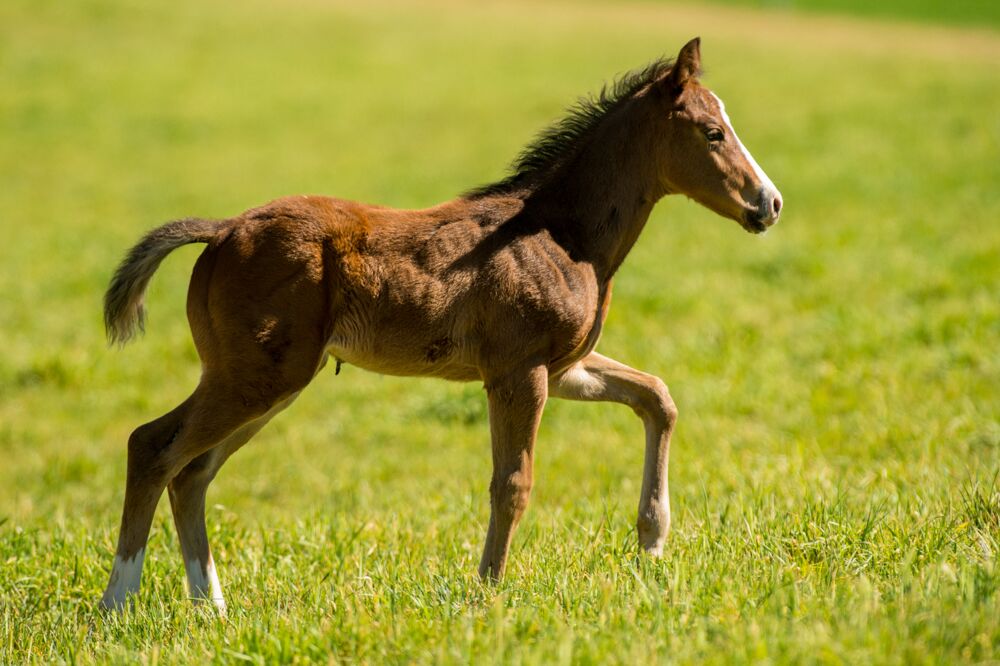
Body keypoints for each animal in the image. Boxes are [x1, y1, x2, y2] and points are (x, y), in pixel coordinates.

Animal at [103, 35, 788, 608]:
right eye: (712, 133)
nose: (770, 203)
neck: (564, 234)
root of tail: (221, 232)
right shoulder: (518, 372)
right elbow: (513, 483)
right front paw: (488, 590)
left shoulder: (561, 366)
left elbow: (657, 397)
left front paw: (652, 541)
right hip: (257, 375)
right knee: (153, 446)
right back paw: (118, 603)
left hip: (268, 378)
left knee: (192, 471)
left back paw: (212, 606)